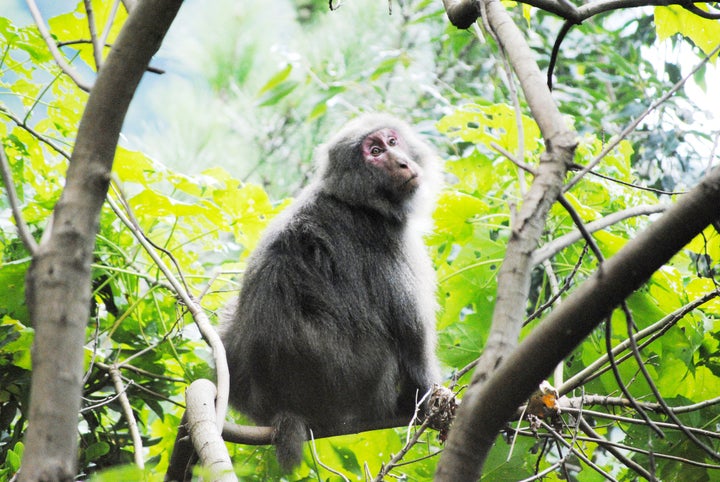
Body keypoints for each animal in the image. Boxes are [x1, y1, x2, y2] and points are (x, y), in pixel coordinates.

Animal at [222, 113, 442, 470]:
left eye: (392, 142)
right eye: (375, 152)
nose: (402, 162)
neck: (355, 201)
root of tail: (283, 405)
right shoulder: (389, 243)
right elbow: (413, 340)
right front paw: (429, 403)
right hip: (364, 383)